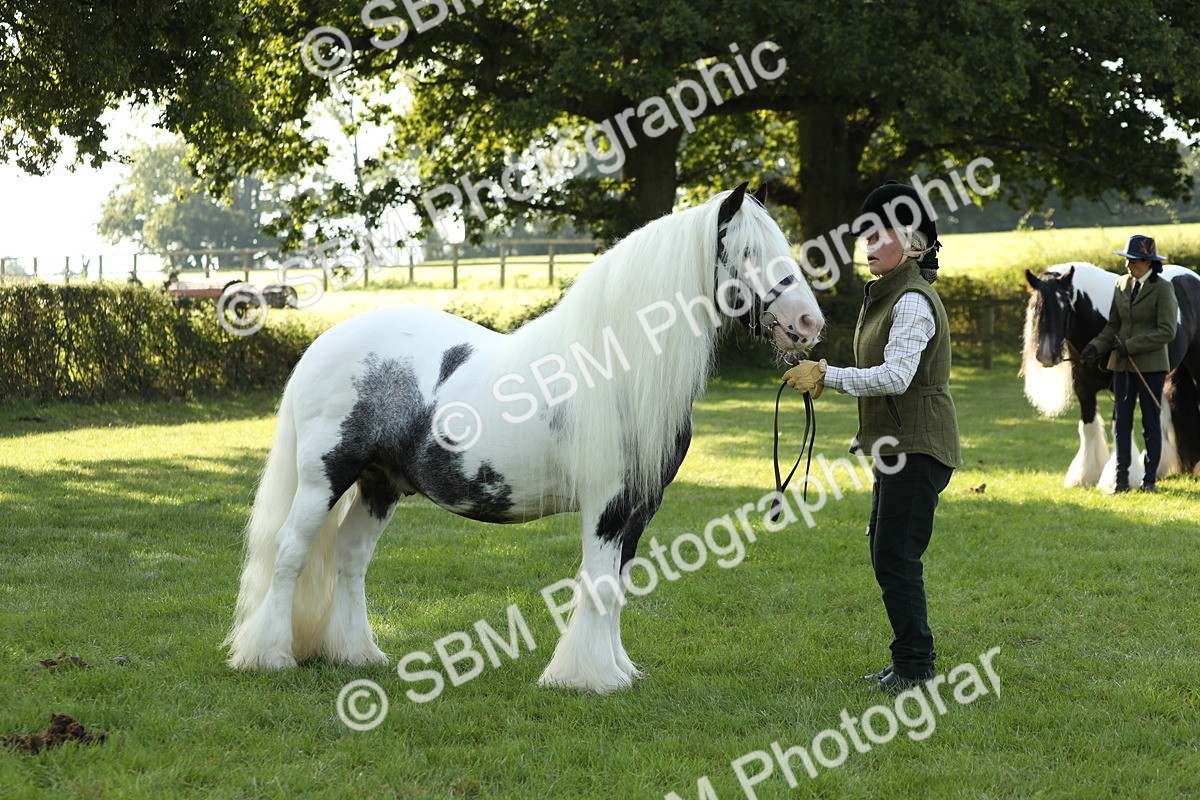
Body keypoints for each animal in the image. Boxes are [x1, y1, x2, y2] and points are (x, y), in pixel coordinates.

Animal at [225, 182, 825, 693]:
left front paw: (618, 670)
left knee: (349, 559)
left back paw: (358, 654)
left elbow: (618, 584)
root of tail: (323, 344)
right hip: (323, 479)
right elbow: (598, 583)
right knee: (290, 552)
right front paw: (586, 678)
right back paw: (269, 656)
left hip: (380, 484)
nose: (808, 323)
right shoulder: (606, 505)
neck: (618, 367)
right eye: (748, 252)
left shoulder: (640, 506)